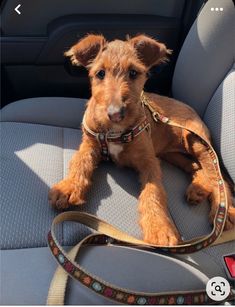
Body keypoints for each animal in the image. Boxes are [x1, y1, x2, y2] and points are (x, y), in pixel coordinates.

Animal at [48, 34, 234, 245]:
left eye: (133, 72)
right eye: (100, 73)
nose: (115, 114)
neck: (114, 132)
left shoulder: (149, 161)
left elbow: (153, 192)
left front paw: (159, 229)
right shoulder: (89, 145)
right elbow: (80, 162)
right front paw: (68, 188)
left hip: (196, 141)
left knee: (217, 176)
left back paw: (225, 212)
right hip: (171, 154)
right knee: (195, 167)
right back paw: (198, 189)